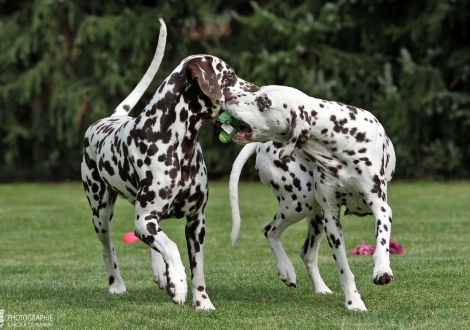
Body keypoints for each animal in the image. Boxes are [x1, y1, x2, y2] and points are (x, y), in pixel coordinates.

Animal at [80, 20, 258, 310]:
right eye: (229, 76)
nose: (258, 90)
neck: (177, 144)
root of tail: (111, 118)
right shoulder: (145, 219)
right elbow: (172, 248)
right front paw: (178, 282)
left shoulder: (196, 222)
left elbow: (197, 269)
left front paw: (202, 302)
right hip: (101, 214)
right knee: (110, 249)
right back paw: (117, 284)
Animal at [226, 85, 394, 312]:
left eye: (263, 101)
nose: (227, 95)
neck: (339, 142)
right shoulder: (332, 221)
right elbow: (344, 269)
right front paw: (354, 302)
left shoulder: (380, 207)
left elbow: (382, 243)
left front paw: (382, 270)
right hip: (299, 204)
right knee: (270, 230)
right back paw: (286, 270)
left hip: (314, 217)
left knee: (306, 253)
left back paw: (321, 288)